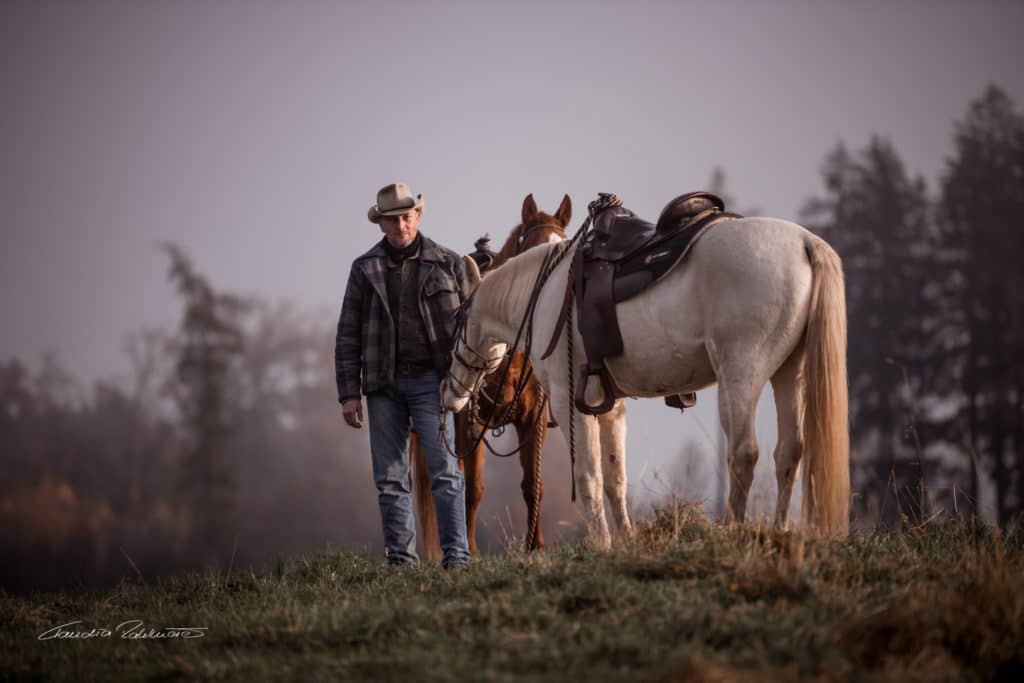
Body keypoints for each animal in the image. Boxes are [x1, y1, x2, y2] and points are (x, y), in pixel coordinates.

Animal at [407, 194, 569, 557]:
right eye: (532, 250)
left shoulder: (534, 419)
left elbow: (533, 484)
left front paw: (535, 547)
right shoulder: (470, 421)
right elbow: (473, 487)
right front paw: (470, 550)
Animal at [440, 216, 847, 548]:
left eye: (455, 319)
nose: (450, 394)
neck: (544, 294)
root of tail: (804, 242)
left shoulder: (571, 404)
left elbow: (588, 477)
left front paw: (601, 546)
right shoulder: (610, 407)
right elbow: (614, 479)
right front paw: (624, 542)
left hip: (740, 375)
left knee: (744, 452)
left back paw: (734, 530)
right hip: (789, 373)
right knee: (789, 452)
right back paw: (779, 532)